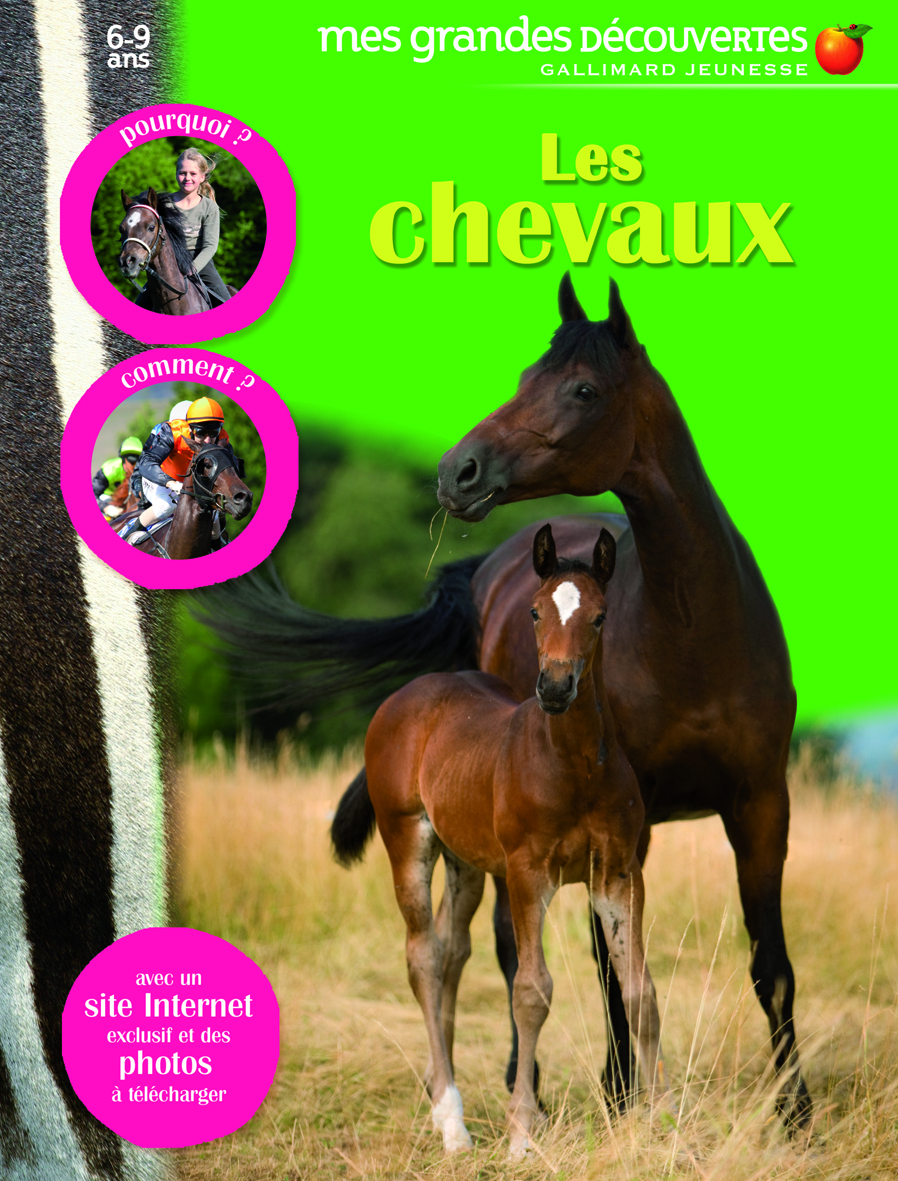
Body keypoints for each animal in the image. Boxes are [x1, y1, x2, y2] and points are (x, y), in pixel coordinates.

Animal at [334, 524, 670, 1155]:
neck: (572, 766)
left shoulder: (618, 872)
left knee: (450, 952)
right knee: (422, 956)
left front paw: (664, 1121)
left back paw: (441, 1101)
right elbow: (531, 991)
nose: (556, 687)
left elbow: (639, 991)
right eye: (535, 611)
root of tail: (407, 696)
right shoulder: (526, 872)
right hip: (406, 839)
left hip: (465, 861)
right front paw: (521, 1132)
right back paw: (453, 1122)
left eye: (600, 616)